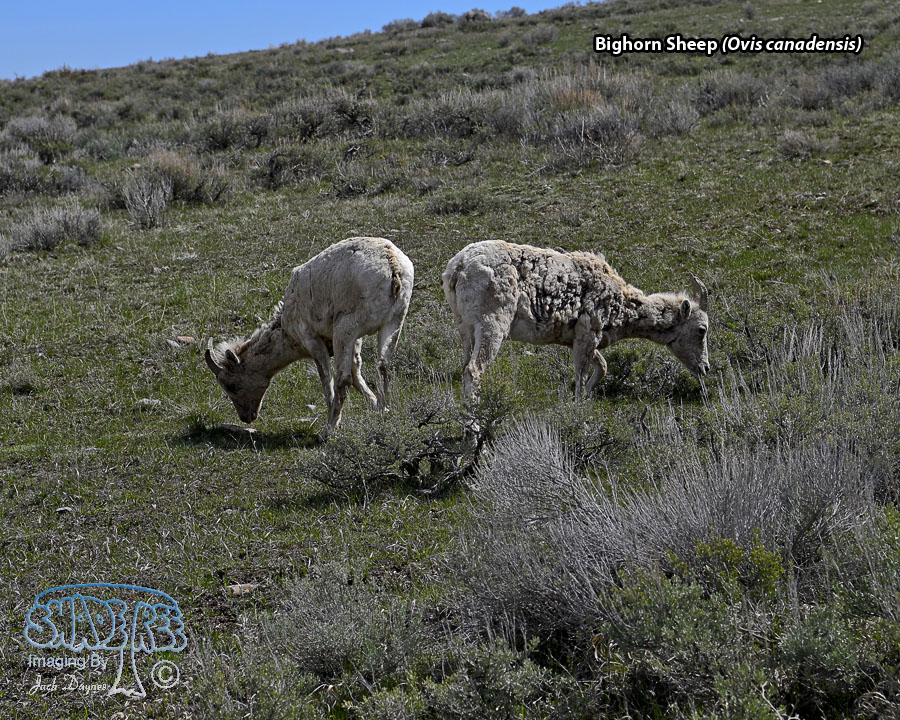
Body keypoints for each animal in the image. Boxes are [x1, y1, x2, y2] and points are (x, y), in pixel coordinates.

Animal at [205, 237, 414, 437]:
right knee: (383, 367)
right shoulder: (356, 340)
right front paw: (376, 407)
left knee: (343, 378)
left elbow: (327, 377)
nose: (246, 417)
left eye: (231, 385)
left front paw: (336, 424)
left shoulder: (312, 339)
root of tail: (393, 267)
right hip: (394, 321)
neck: (287, 329)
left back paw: (326, 431)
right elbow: (356, 370)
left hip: (345, 326)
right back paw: (382, 412)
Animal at [442, 240, 709, 399]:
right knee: (473, 371)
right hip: (492, 326)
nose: (705, 368)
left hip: (466, 330)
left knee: (464, 368)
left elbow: (602, 367)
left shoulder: (579, 340)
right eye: (702, 329)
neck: (622, 303)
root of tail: (458, 267)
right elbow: (580, 378)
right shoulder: (588, 335)